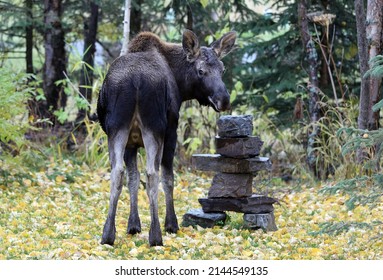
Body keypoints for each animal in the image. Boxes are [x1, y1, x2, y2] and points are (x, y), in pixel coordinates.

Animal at [97, 29, 237, 246]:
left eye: (222, 69)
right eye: (201, 71)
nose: (224, 100)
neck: (180, 83)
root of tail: (135, 80)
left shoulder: (131, 143)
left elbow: (132, 178)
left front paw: (133, 225)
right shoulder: (171, 130)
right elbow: (168, 178)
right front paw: (171, 224)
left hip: (117, 129)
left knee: (117, 172)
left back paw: (107, 234)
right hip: (154, 128)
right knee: (153, 174)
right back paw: (156, 235)